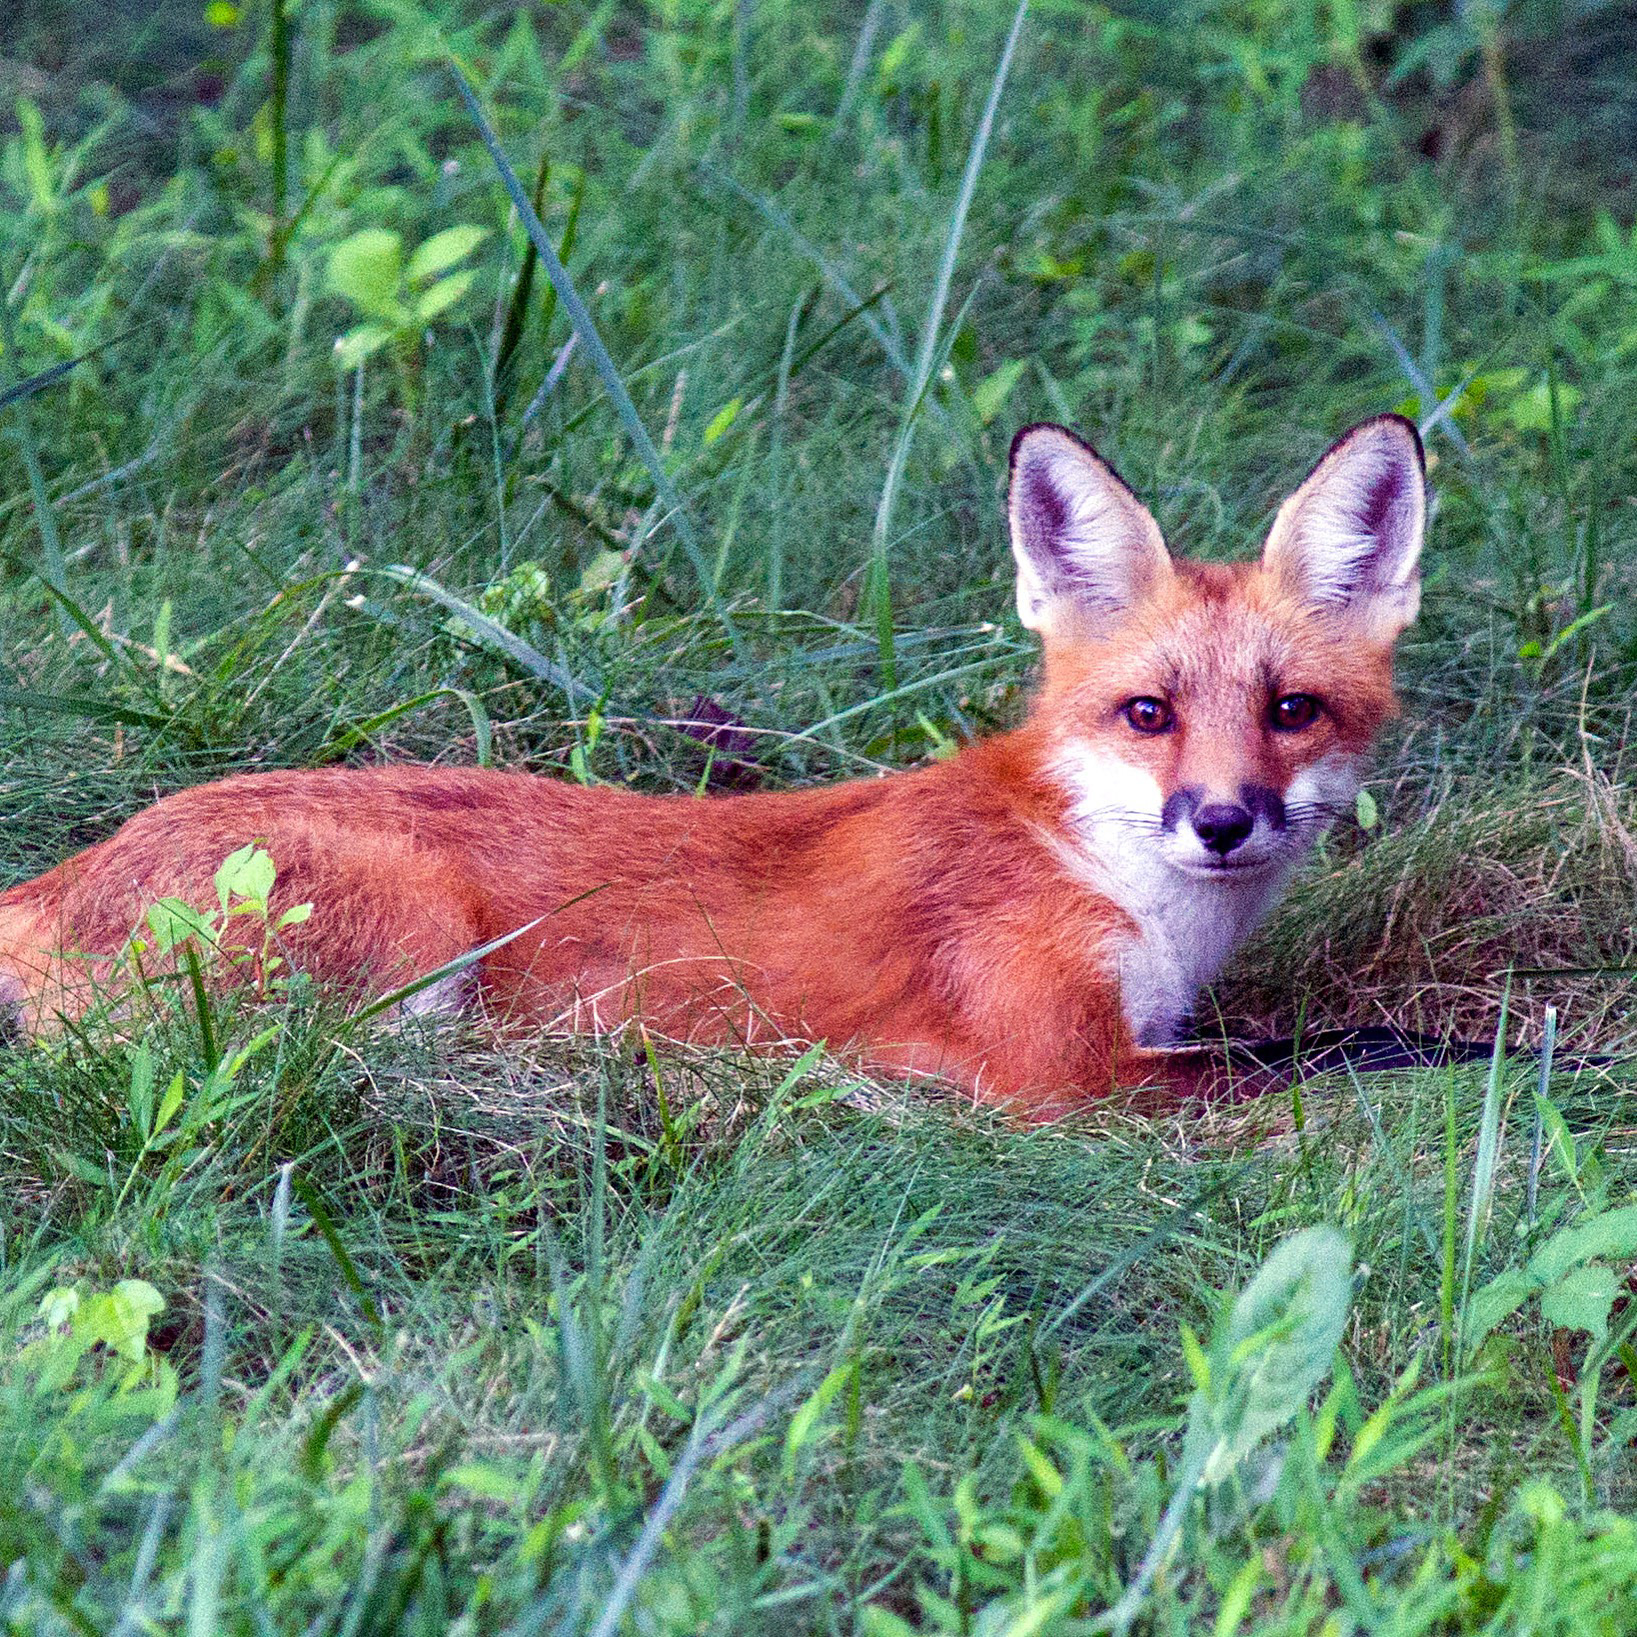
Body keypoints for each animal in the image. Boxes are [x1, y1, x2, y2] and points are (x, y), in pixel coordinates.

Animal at [0, 414, 1425, 1119]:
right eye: (1147, 712)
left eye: (1289, 710)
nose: (1222, 820)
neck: (1106, 876)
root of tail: (60, 873)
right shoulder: (1063, 1073)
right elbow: (1365, 1045)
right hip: (412, 952)